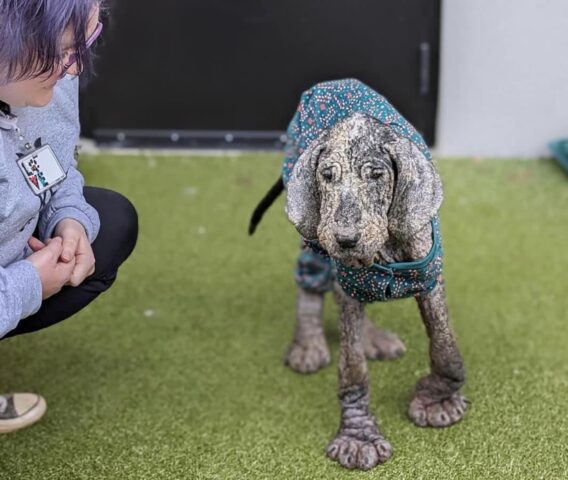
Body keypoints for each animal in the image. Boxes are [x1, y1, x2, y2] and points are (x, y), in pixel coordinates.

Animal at [250, 79, 466, 468]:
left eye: (377, 175)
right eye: (327, 175)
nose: (346, 240)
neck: (385, 249)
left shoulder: (429, 276)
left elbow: (446, 347)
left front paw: (437, 401)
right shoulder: (344, 271)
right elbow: (352, 369)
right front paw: (358, 437)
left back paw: (372, 337)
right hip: (312, 233)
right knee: (313, 277)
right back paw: (308, 343)